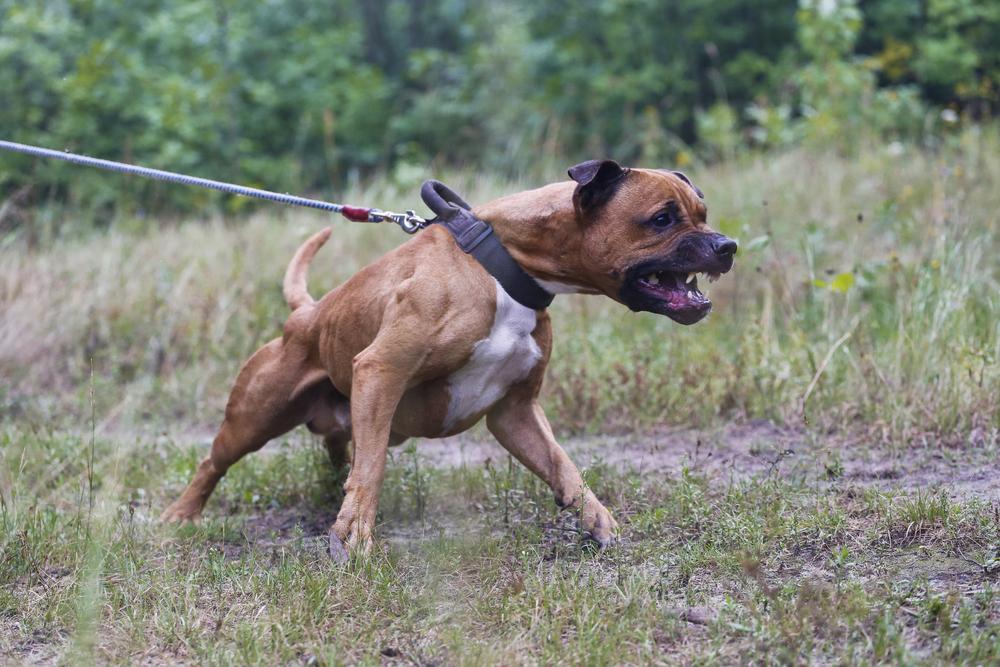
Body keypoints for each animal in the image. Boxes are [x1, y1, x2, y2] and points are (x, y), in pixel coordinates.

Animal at [164, 162, 736, 560]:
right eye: (661, 219)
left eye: (703, 214)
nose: (727, 245)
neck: (504, 266)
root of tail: (307, 313)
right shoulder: (381, 371)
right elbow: (372, 469)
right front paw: (354, 538)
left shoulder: (516, 412)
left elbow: (566, 469)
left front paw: (599, 522)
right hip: (253, 418)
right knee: (214, 463)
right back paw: (180, 515)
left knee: (337, 447)